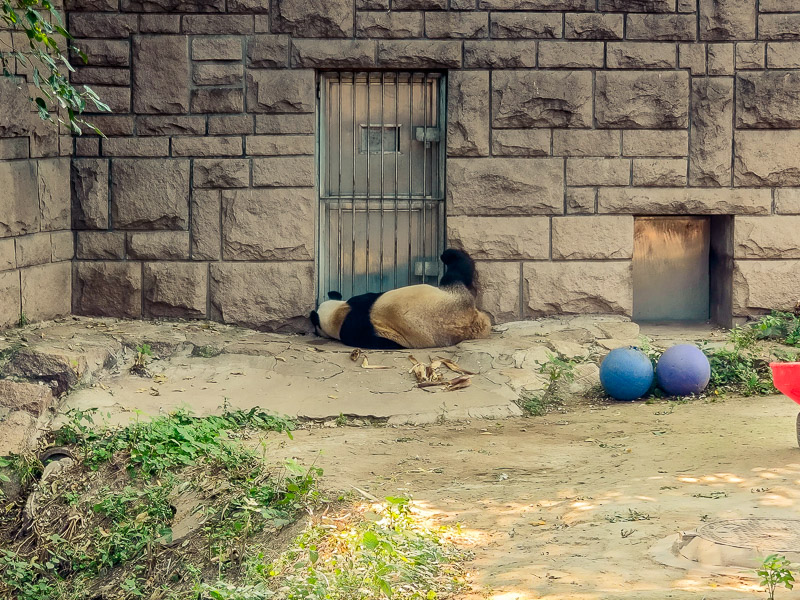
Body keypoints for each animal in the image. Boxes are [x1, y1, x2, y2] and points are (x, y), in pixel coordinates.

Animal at [310, 248, 490, 352]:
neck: (338, 313)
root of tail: (474, 320)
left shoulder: (353, 322)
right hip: (456, 292)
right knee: (460, 270)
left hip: (451, 291)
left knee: (457, 267)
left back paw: (447, 254)